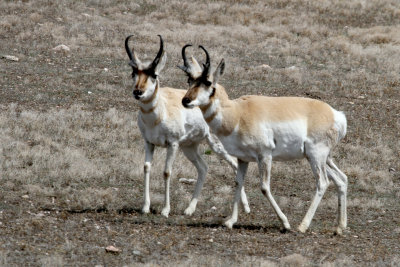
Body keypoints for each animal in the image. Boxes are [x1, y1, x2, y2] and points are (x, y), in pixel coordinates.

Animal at [125, 35, 250, 219]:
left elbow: (167, 172)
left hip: (215, 145)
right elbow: (147, 168)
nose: (138, 92)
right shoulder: (149, 143)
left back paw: (246, 208)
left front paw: (165, 210)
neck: (158, 114)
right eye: (134, 73)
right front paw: (145, 207)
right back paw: (190, 208)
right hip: (189, 147)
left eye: (154, 74)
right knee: (203, 168)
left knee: (234, 164)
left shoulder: (173, 144)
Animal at [180, 44, 348, 234]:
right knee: (341, 179)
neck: (238, 113)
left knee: (323, 183)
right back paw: (340, 227)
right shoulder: (243, 159)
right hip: (322, 158)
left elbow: (264, 187)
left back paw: (302, 226)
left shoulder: (265, 155)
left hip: (316, 156)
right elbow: (238, 183)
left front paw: (285, 223)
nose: (186, 100)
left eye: (207, 82)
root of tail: (335, 114)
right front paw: (230, 221)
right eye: (189, 80)